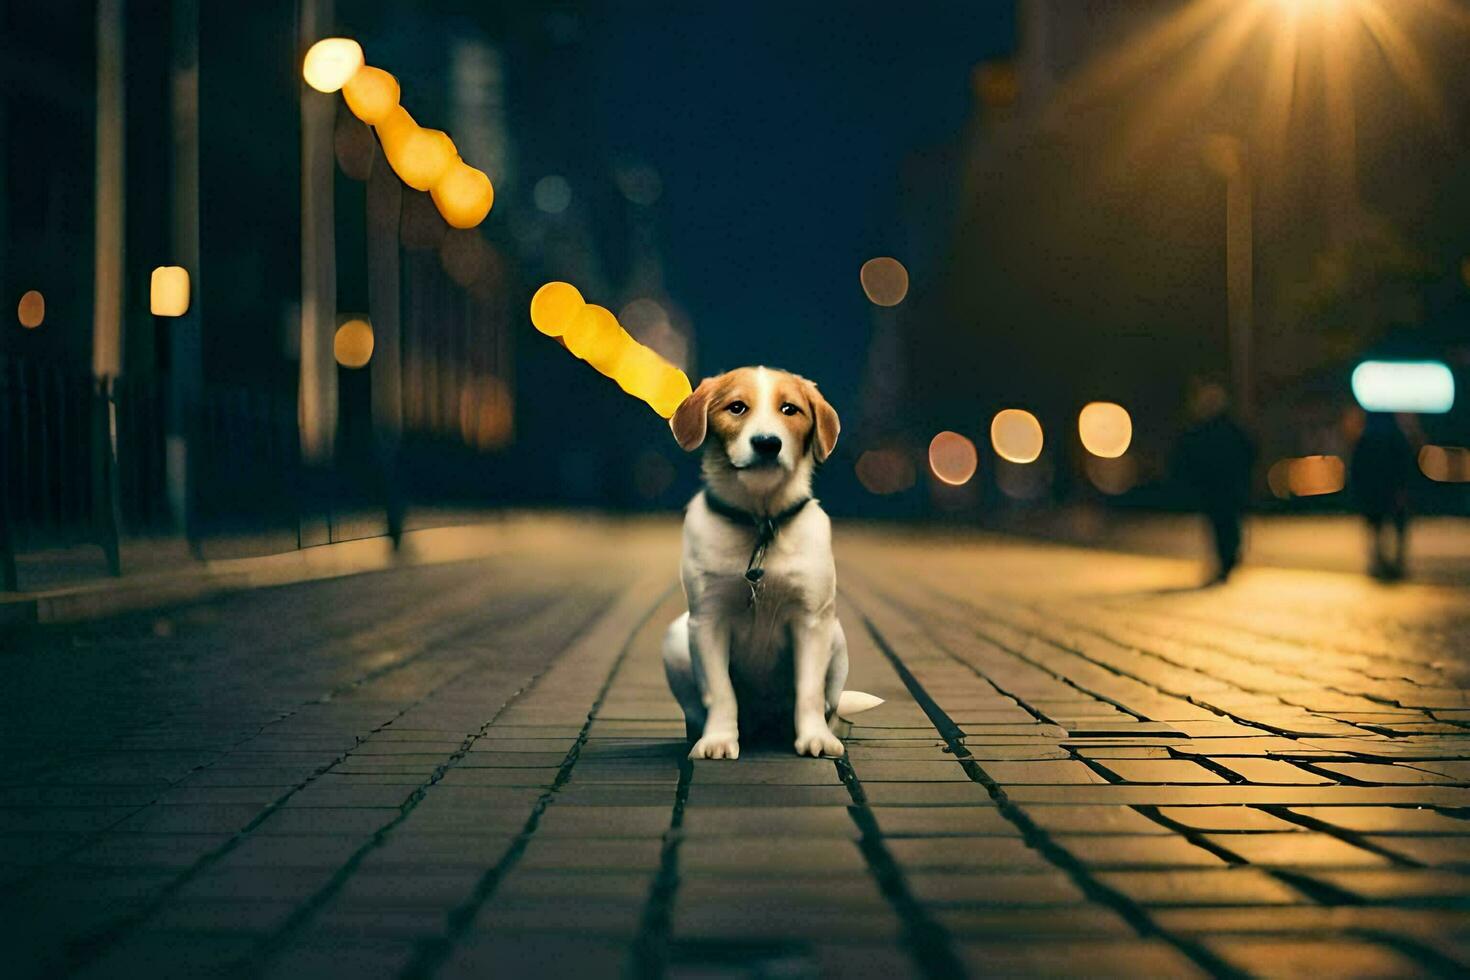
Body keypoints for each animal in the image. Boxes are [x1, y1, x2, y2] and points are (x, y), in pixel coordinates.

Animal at [667, 367, 882, 758]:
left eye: (789, 409)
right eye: (737, 407)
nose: (767, 443)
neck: (761, 521)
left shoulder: (810, 620)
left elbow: (809, 691)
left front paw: (814, 738)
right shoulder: (708, 619)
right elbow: (720, 692)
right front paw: (718, 739)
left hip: (835, 635)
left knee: (830, 705)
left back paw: (829, 729)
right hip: (676, 636)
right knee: (698, 706)